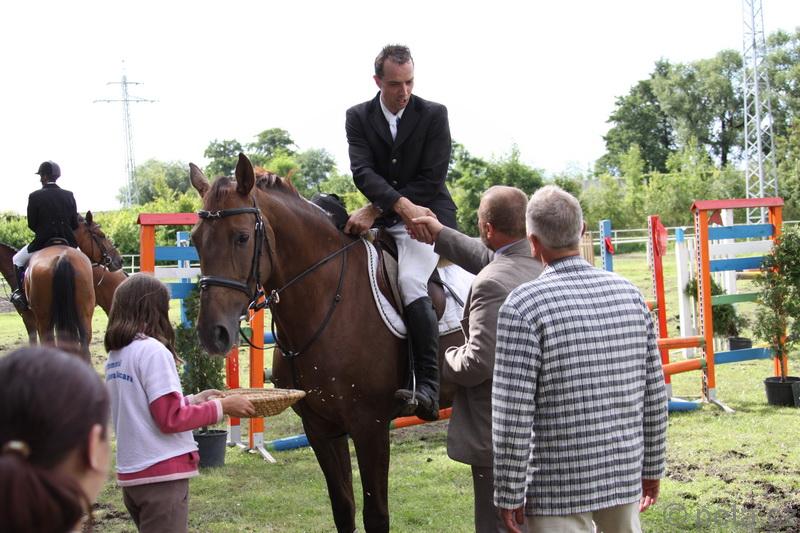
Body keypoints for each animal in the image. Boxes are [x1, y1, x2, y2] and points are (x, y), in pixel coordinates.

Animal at [189, 154, 464, 533]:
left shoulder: (370, 427)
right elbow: (343, 508)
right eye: (194, 239)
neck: (328, 301)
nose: (212, 334)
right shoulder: (320, 428)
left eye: (242, 237)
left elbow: (376, 515)